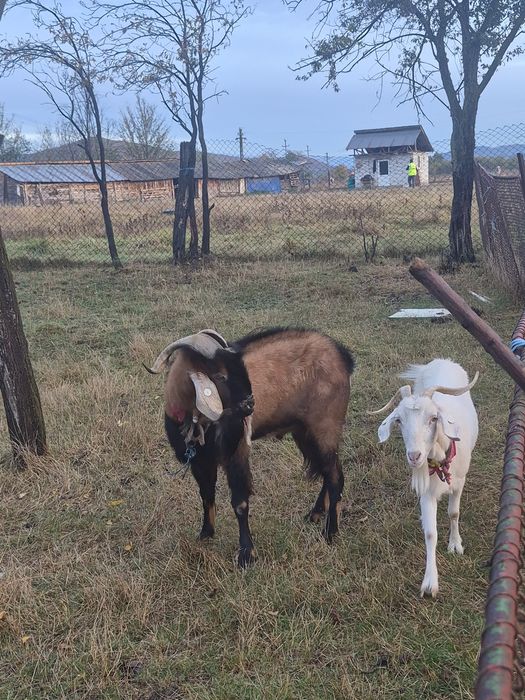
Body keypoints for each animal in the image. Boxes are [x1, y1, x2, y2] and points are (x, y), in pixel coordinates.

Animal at [146, 327, 354, 566]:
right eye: (220, 376)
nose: (249, 405)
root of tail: (341, 354)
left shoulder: (236, 455)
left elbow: (240, 503)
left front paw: (246, 554)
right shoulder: (200, 462)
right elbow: (206, 495)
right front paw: (206, 534)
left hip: (325, 428)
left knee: (335, 476)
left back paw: (330, 532)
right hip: (304, 433)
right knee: (327, 471)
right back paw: (316, 514)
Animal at [370, 359, 479, 597]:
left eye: (434, 418)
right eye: (399, 420)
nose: (414, 456)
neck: (440, 461)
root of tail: (442, 360)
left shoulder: (459, 482)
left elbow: (454, 513)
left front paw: (455, 545)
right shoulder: (427, 494)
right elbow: (430, 533)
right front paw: (430, 583)